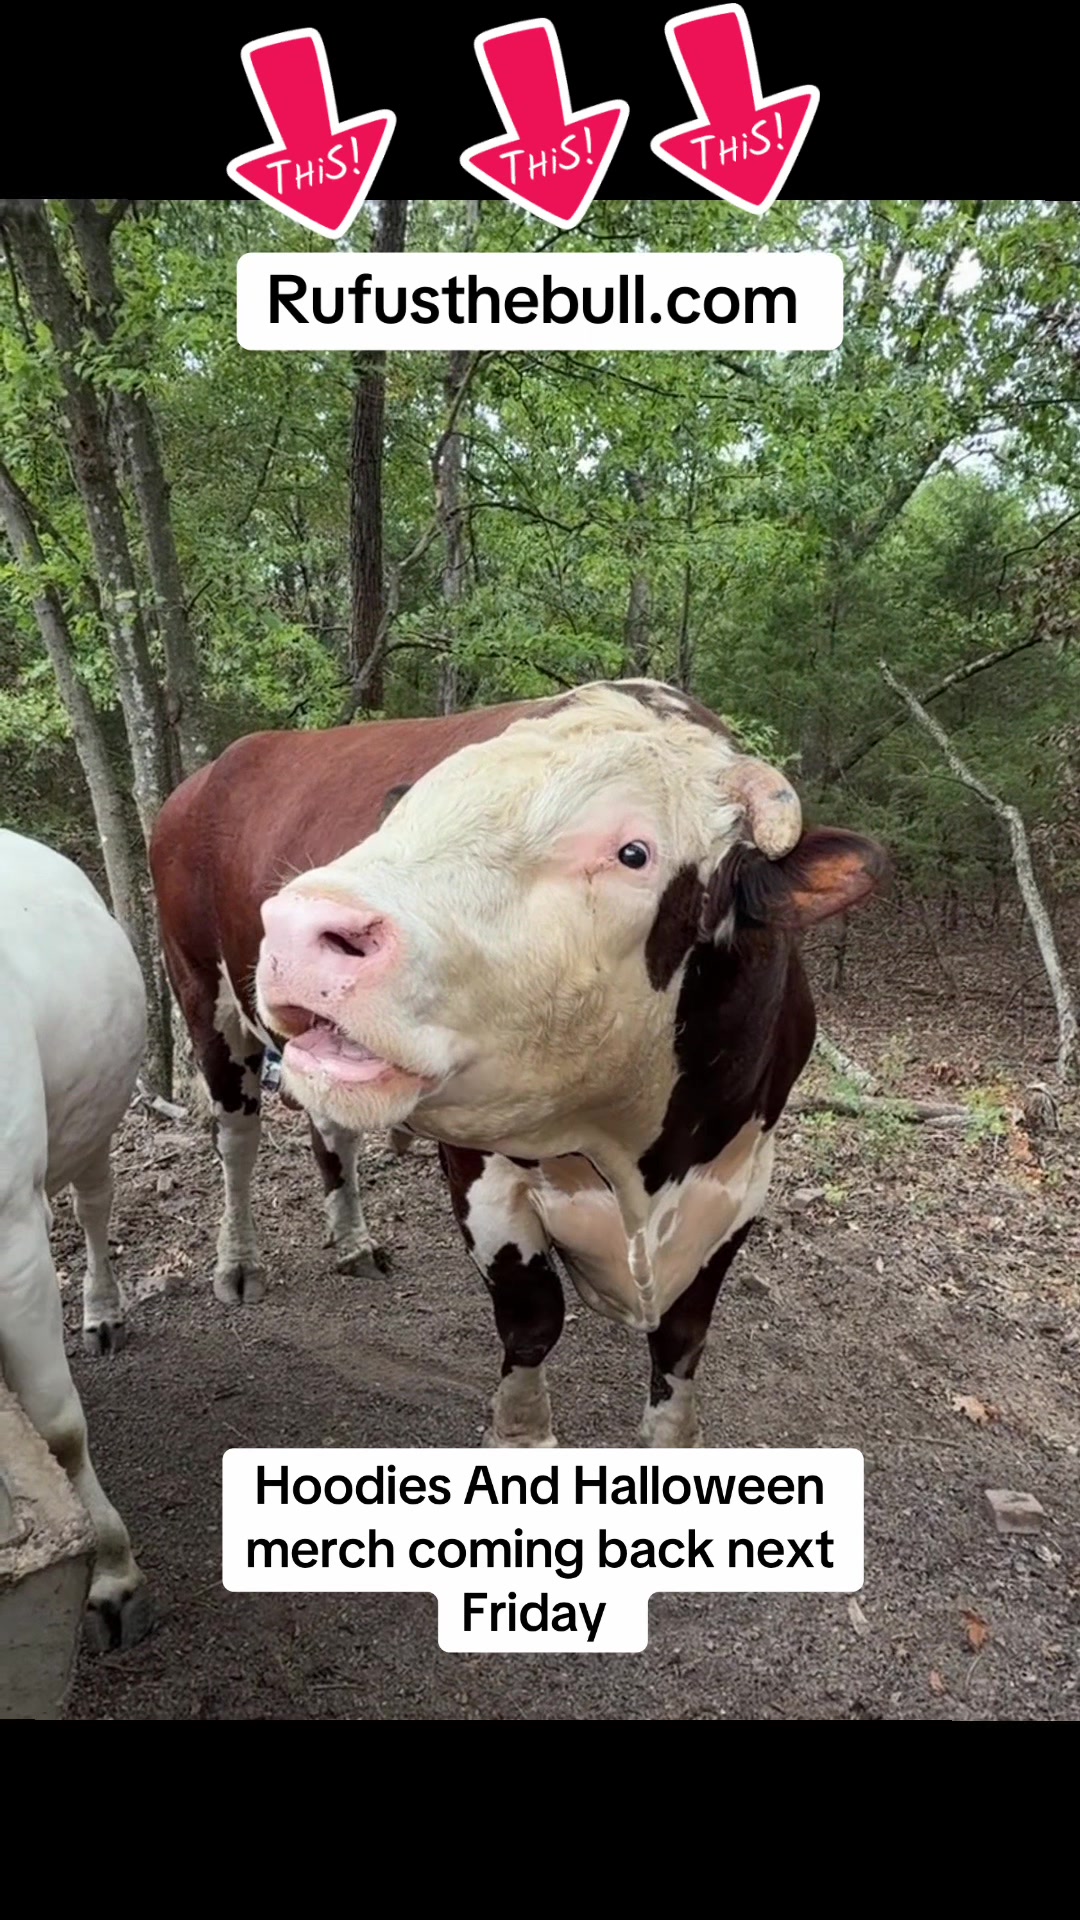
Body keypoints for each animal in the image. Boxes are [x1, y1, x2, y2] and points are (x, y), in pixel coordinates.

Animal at [153, 681, 885, 1447]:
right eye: (409, 814)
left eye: (633, 852)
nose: (299, 924)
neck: (637, 1162)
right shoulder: (483, 1174)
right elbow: (532, 1320)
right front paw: (520, 1434)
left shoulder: (738, 1183)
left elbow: (682, 1345)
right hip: (200, 992)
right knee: (237, 1139)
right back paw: (239, 1261)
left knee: (333, 1129)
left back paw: (353, 1241)